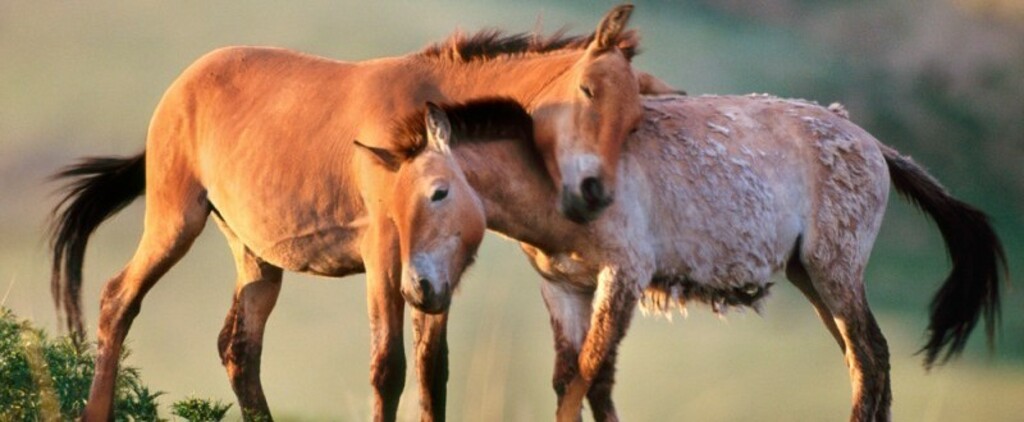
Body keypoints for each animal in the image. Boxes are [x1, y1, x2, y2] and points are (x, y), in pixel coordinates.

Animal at [413, 97, 999, 419]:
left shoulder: (621, 279)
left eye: (439, 192)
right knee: (864, 359)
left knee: (871, 356)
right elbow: (572, 380)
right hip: (812, 278)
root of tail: (875, 145)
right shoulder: (565, 289)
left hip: (837, 272)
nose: (418, 288)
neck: (559, 175)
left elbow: (591, 377)